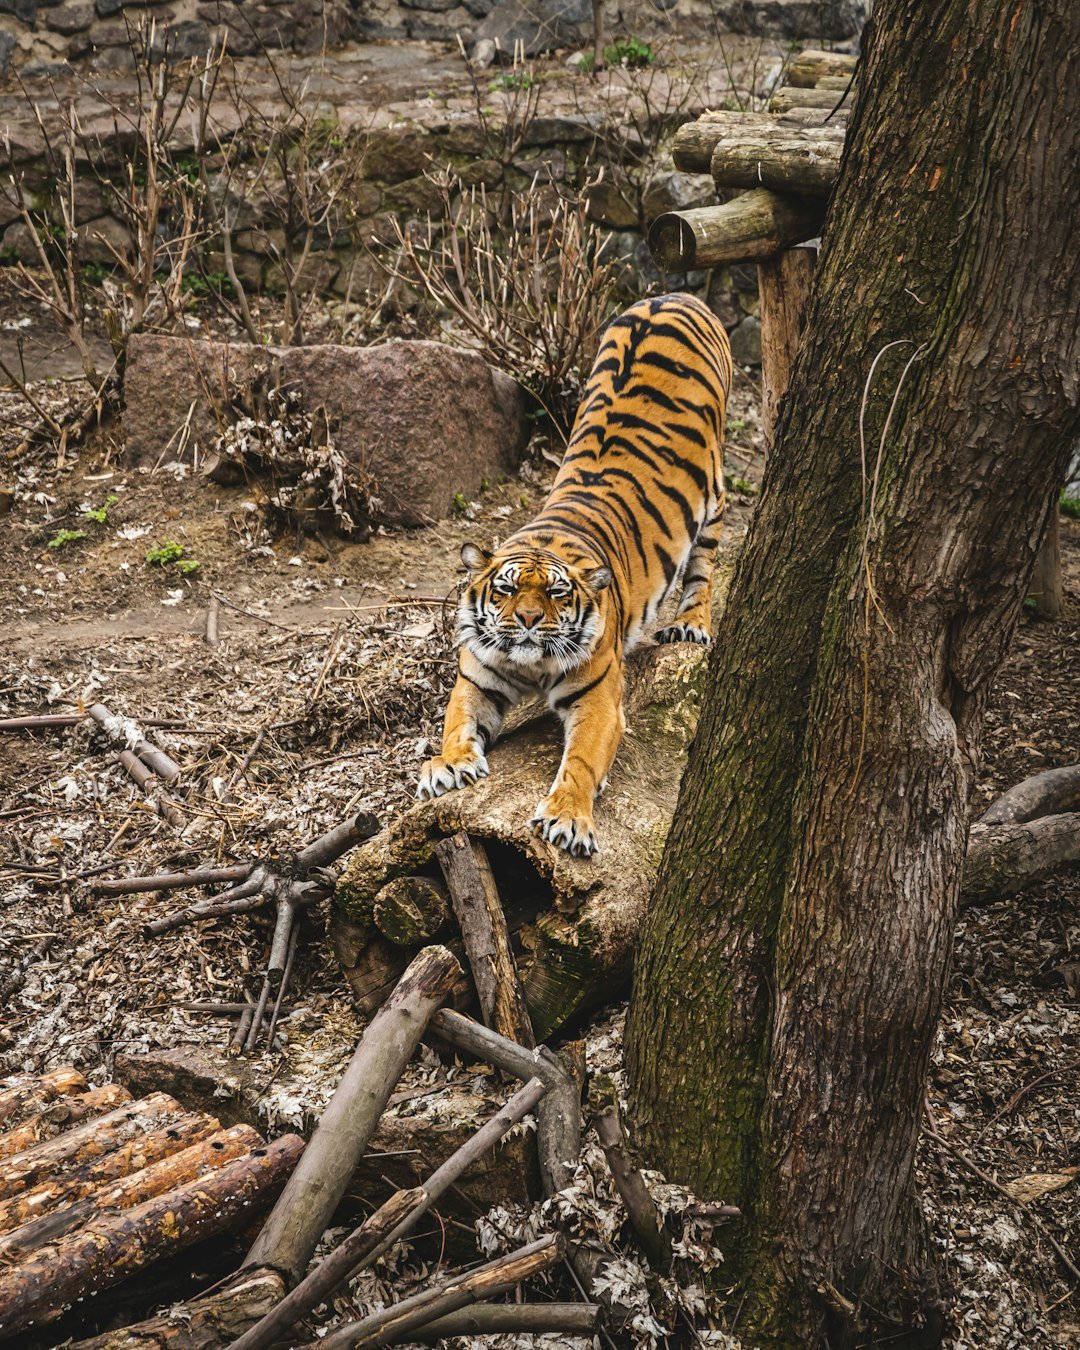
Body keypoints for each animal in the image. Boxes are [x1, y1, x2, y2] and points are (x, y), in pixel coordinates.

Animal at [417, 292, 733, 857]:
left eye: (557, 593)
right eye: (506, 590)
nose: (525, 620)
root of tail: (675, 295)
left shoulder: (600, 698)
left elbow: (581, 761)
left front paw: (567, 819)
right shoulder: (477, 678)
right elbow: (455, 722)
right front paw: (448, 765)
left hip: (712, 489)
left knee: (705, 559)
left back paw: (690, 625)